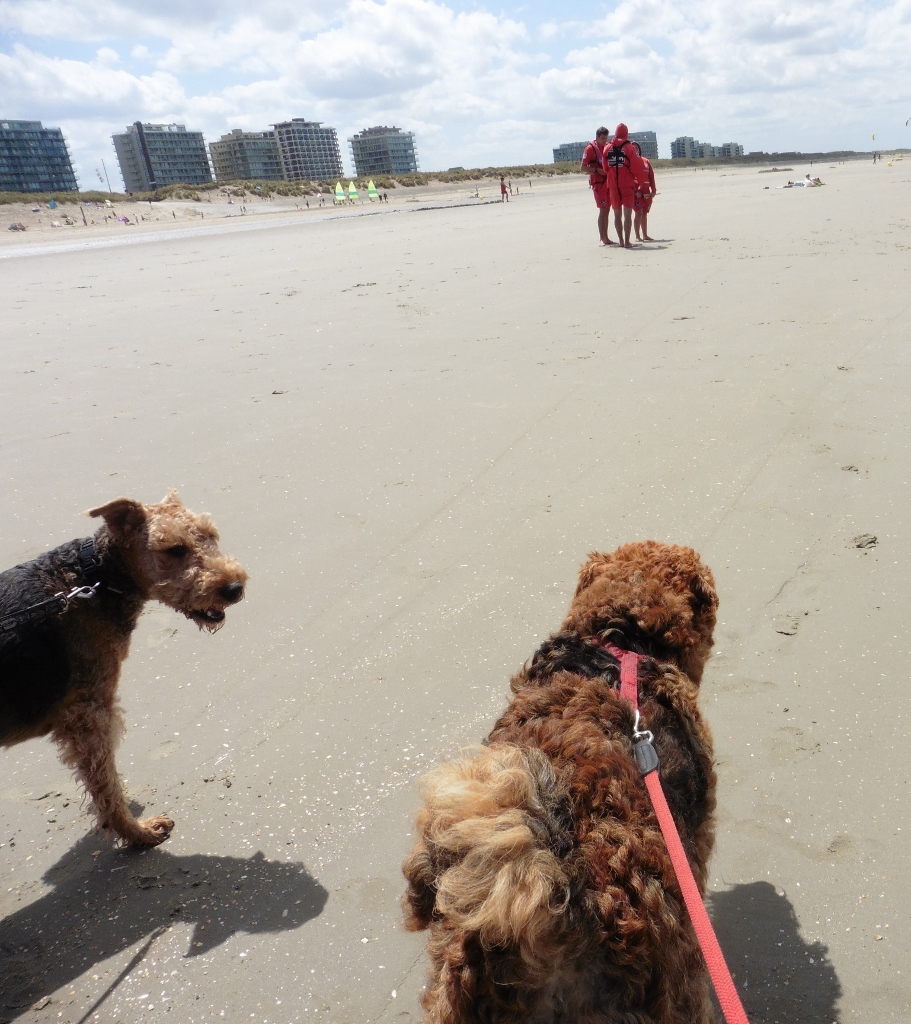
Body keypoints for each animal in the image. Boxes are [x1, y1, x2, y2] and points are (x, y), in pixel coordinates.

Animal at [0, 490, 248, 847]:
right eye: (175, 549)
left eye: (211, 535)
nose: (234, 588)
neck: (97, 578)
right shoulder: (89, 713)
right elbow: (107, 786)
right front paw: (139, 833)